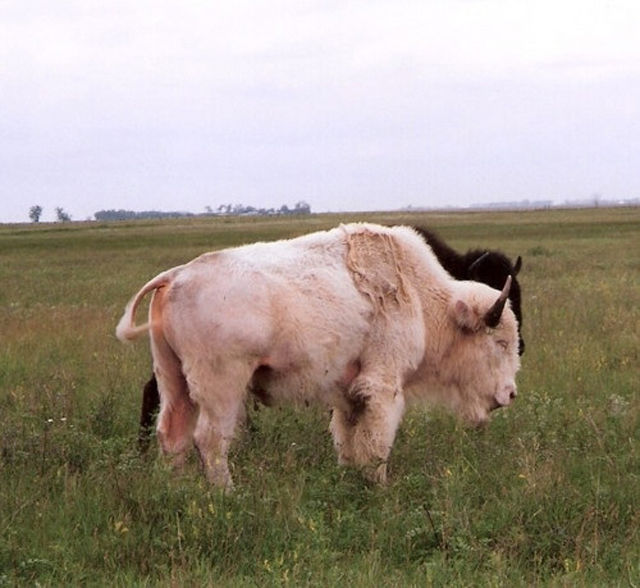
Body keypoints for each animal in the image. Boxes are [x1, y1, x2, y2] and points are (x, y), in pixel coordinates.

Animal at [117, 223, 520, 490]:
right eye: (500, 342)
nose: (510, 394)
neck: (421, 297)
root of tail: (175, 276)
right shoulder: (383, 386)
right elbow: (377, 443)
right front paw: (380, 488)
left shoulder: (349, 394)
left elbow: (348, 440)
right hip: (222, 387)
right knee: (210, 440)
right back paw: (228, 495)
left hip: (173, 379)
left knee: (172, 436)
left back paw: (178, 490)